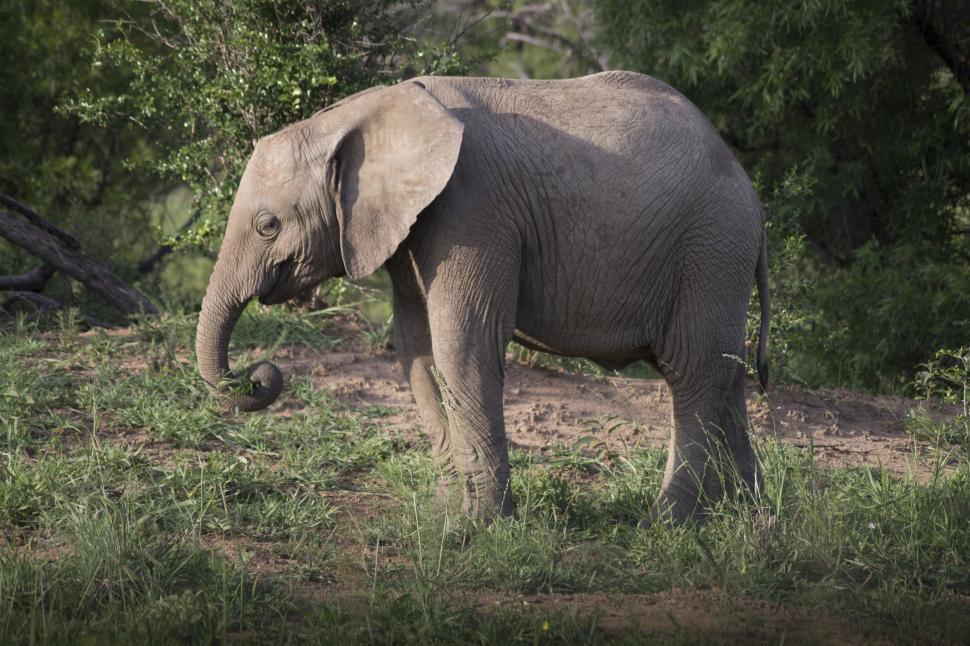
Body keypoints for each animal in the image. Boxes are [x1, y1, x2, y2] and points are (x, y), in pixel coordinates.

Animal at [195, 71, 769, 525]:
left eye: (268, 226)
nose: (259, 375)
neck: (363, 111)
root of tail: (752, 192)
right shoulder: (414, 229)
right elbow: (417, 351)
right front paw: (445, 515)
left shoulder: (472, 212)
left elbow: (462, 346)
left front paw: (483, 526)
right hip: (717, 255)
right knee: (724, 374)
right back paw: (746, 515)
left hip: (711, 247)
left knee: (693, 371)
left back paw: (668, 523)